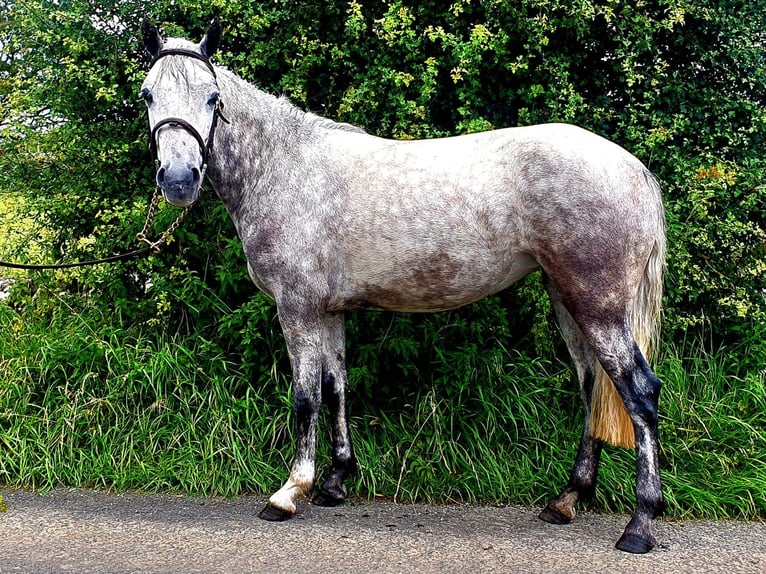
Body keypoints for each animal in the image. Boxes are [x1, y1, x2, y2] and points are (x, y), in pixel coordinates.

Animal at [141, 20, 668, 556]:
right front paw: (335, 483)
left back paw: (640, 524)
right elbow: (335, 388)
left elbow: (305, 398)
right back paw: (566, 500)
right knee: (592, 387)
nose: (179, 179)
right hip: (568, 300)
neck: (285, 168)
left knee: (640, 392)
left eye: (212, 98)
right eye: (147, 95)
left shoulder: (298, 309)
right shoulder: (329, 312)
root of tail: (634, 169)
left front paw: (290, 492)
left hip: (599, 306)